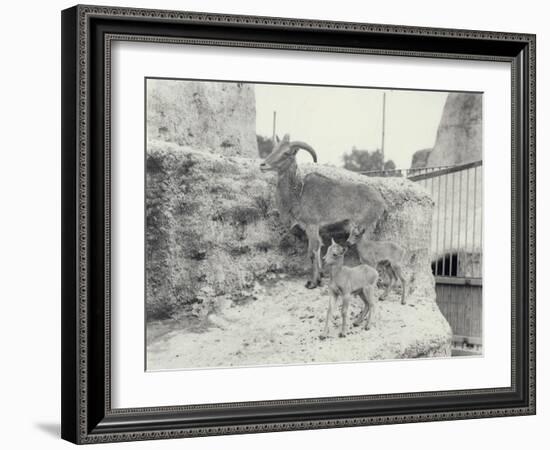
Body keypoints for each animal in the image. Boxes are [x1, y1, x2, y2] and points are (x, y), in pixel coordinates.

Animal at [260, 134, 386, 288]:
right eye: (274, 149)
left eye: (286, 153)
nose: (263, 165)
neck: (299, 194)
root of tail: (381, 201)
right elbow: (319, 250)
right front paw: (319, 277)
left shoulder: (312, 226)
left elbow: (313, 252)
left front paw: (313, 282)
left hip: (365, 229)